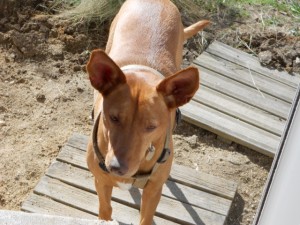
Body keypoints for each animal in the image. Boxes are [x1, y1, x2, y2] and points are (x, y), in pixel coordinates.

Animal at [85, 0, 210, 224]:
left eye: (151, 127)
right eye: (113, 118)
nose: (116, 167)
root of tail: (157, 1)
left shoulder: (153, 191)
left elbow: (146, 217)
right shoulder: (101, 182)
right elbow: (105, 210)